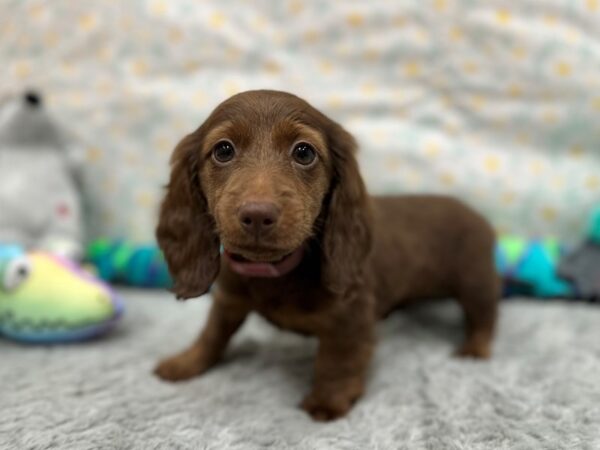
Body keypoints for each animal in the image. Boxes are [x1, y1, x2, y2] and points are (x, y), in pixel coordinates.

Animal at [154, 90, 496, 422]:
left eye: (304, 153)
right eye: (223, 150)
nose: (258, 215)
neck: (276, 271)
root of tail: (477, 214)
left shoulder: (350, 318)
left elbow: (336, 360)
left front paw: (328, 399)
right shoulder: (229, 300)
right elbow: (212, 335)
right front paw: (186, 362)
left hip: (474, 281)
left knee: (485, 317)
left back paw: (475, 349)